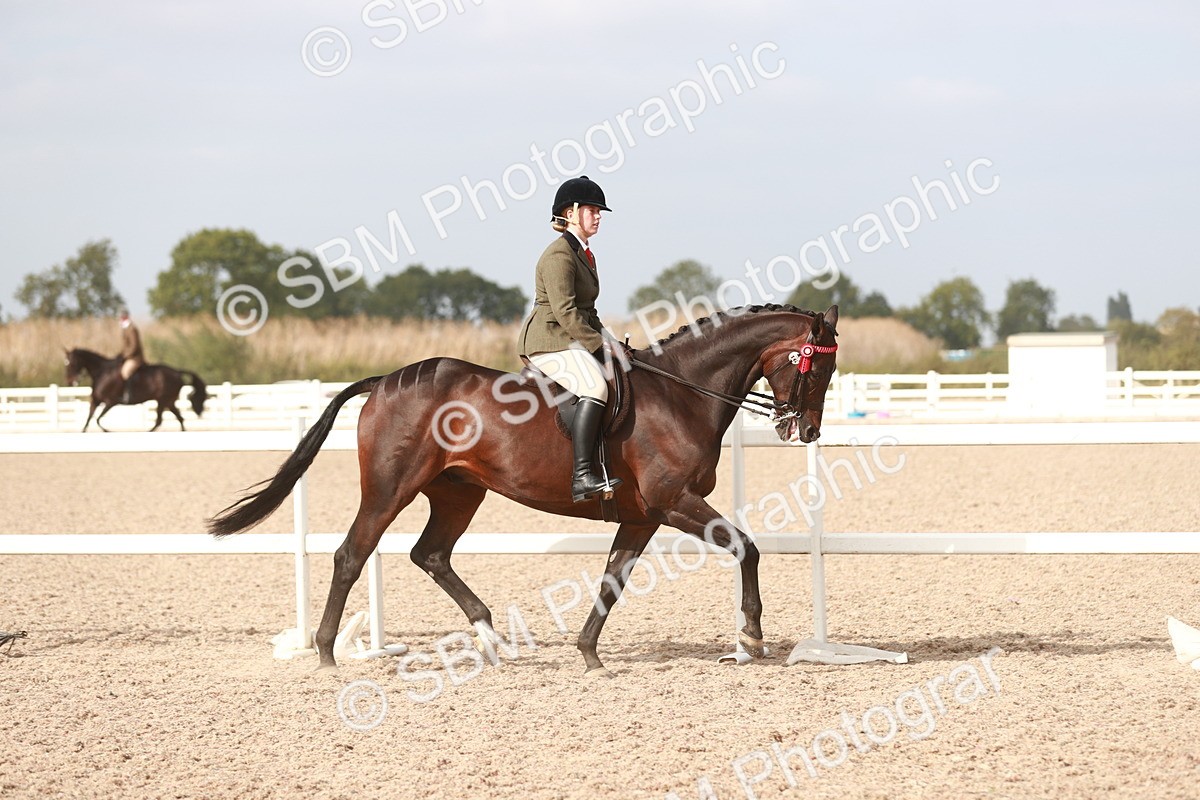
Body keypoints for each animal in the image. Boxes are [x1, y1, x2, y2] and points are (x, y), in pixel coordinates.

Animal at [64, 347, 209, 432]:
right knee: (179, 418)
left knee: (160, 420)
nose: (70, 381)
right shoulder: (95, 401)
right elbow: (88, 420)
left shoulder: (111, 402)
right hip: (169, 401)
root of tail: (176, 372)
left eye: (71, 363)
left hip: (163, 400)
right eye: (66, 363)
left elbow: (97, 419)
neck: (102, 373)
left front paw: (108, 431)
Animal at [208, 303, 840, 674]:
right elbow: (746, 547)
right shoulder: (673, 502)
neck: (683, 392)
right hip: (390, 489)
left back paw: (493, 639)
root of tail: (387, 379)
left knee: (430, 554)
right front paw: (752, 637)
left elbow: (613, 580)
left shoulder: (643, 515)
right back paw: (325, 654)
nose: (806, 431)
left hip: (459, 492)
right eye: (815, 368)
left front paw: (589, 655)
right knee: (352, 554)